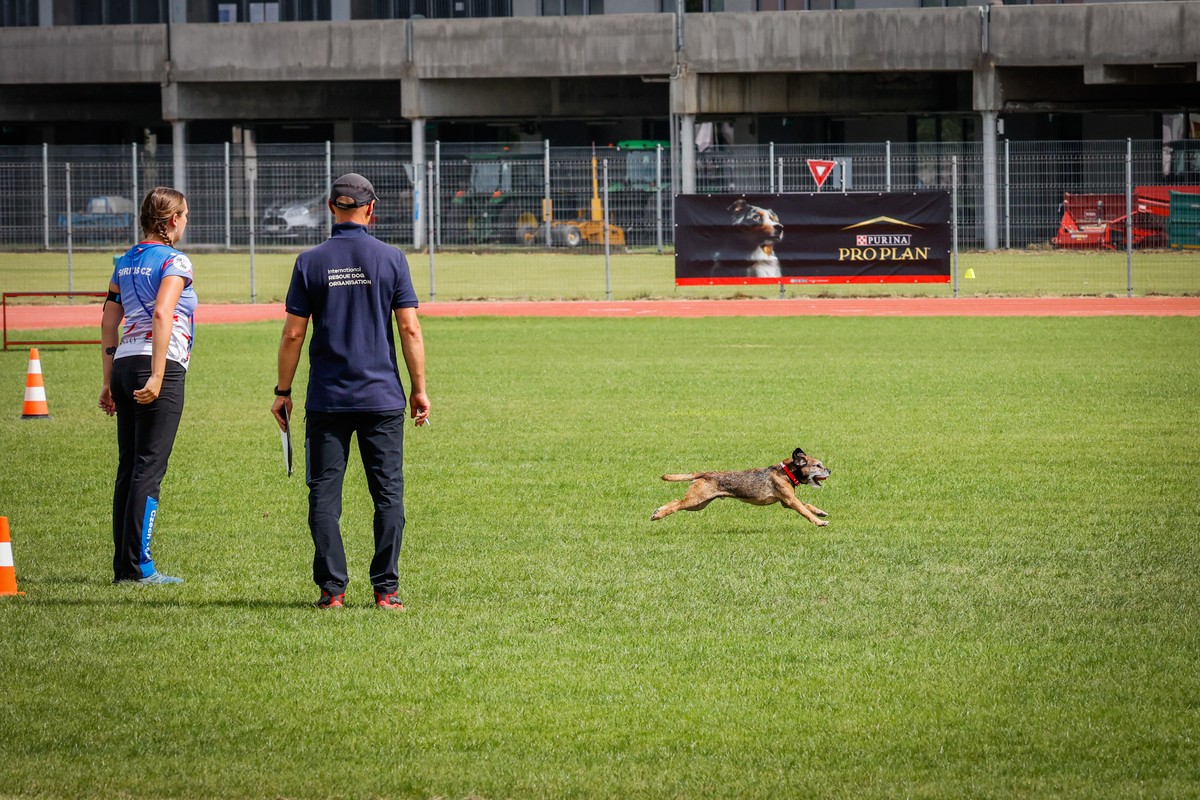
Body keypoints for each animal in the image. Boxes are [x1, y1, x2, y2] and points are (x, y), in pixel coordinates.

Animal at [651, 448, 831, 526]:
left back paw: (658, 510)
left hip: (698, 504)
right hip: (696, 500)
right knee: (677, 504)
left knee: (676, 501)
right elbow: (805, 511)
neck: (787, 472)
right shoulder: (791, 500)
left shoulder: (786, 501)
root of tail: (703, 473)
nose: (830, 470)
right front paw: (819, 521)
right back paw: (658, 515)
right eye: (817, 465)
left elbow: (807, 505)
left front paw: (820, 512)